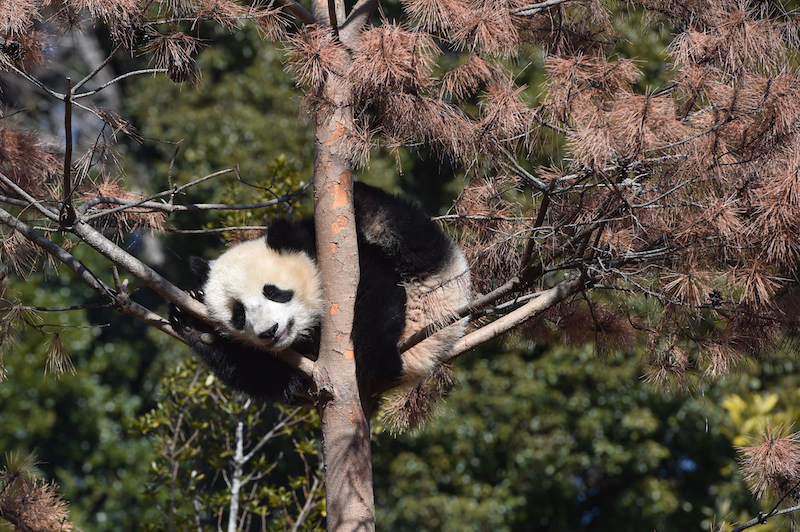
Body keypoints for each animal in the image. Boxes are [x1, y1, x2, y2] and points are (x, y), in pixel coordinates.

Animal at [169, 183, 468, 404]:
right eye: (239, 313)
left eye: (274, 292)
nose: (269, 332)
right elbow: (266, 377)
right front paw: (192, 322)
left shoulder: (350, 261)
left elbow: (377, 291)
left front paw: (380, 358)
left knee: (395, 224)